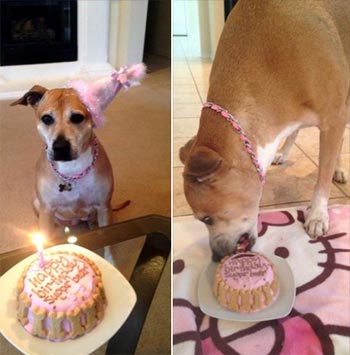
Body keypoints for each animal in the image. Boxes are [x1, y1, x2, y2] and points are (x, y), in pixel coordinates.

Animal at [180, 0, 350, 262]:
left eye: (206, 218)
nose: (216, 258)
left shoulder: (335, 118)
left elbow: (323, 175)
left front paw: (317, 214)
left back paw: (338, 169)